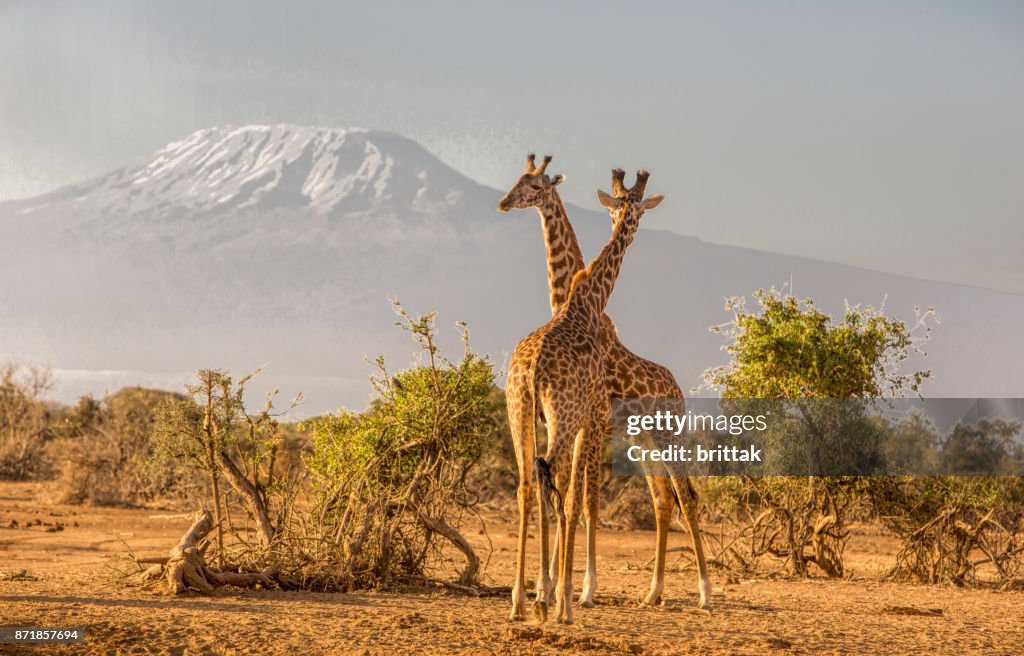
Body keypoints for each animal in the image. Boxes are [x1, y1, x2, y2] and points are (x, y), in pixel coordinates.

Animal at [497, 154, 712, 609]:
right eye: (519, 182)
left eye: (535, 186)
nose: (504, 202)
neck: (580, 301)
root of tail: (677, 389)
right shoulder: (585, 424)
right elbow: (580, 499)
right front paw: (567, 587)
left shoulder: (588, 423)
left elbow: (582, 501)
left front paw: (573, 587)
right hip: (637, 439)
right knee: (663, 498)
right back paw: (658, 592)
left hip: (660, 435)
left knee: (682, 497)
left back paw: (698, 593)